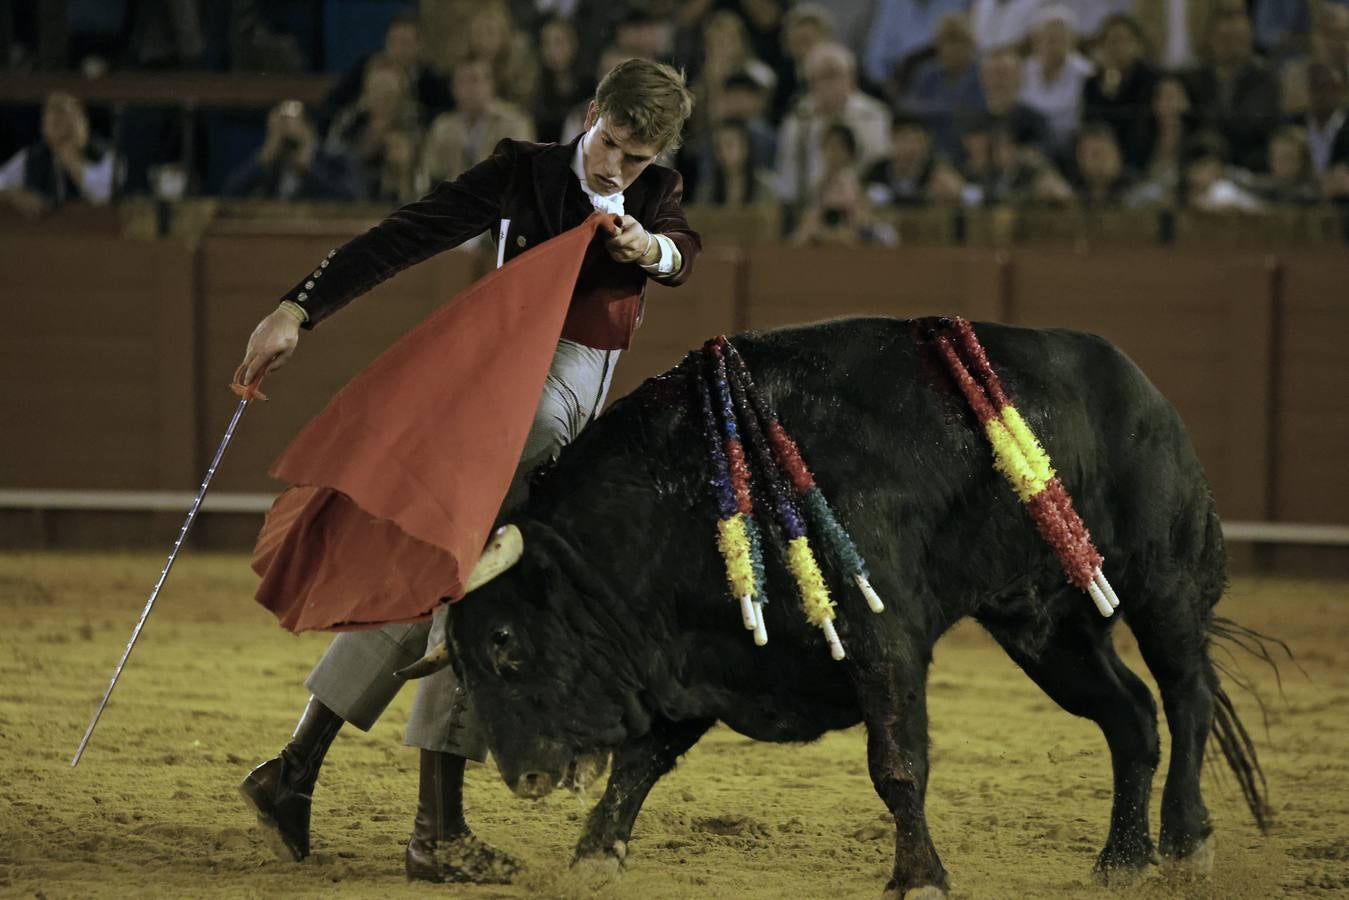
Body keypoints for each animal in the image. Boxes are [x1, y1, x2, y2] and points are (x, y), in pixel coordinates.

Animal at [437, 319, 1268, 895]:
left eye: (505, 643)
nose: (522, 777)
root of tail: (1141, 386)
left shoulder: (883, 639)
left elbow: (897, 764)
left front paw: (919, 878)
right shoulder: (704, 657)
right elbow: (643, 761)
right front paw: (591, 858)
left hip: (1163, 581)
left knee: (1185, 695)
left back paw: (1186, 844)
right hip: (1045, 627)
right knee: (1129, 714)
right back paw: (1122, 859)